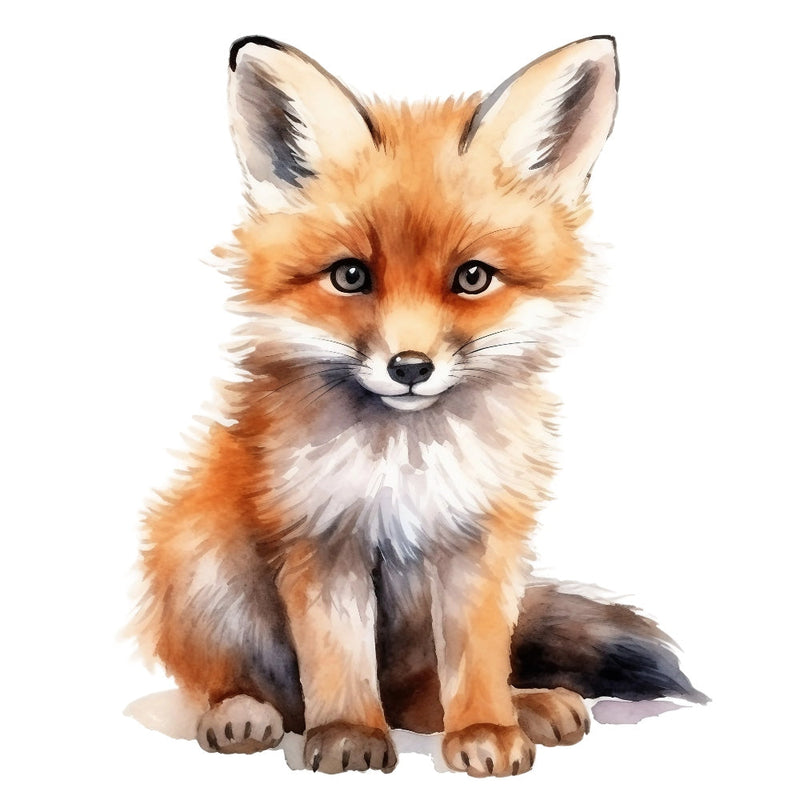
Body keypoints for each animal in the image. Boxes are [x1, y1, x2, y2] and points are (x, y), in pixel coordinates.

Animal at [134, 34, 706, 777]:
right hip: (201, 561)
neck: (406, 463)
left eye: (473, 277)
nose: (410, 368)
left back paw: (526, 704)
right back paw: (243, 712)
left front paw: (487, 729)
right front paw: (347, 733)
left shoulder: (481, 540)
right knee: (246, 683)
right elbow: (338, 657)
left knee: (421, 698)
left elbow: (477, 659)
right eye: (351, 275)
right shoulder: (323, 538)